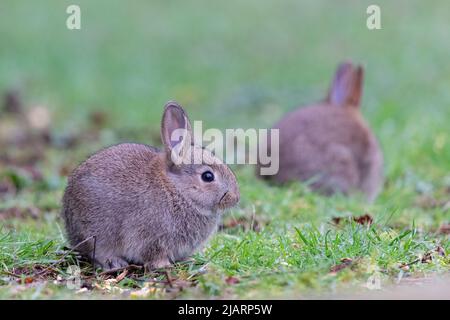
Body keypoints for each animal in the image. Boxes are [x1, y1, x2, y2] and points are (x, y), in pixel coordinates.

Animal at [62, 101, 243, 272]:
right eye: (207, 176)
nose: (235, 198)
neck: (176, 190)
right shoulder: (151, 238)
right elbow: (154, 255)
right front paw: (163, 266)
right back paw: (114, 262)